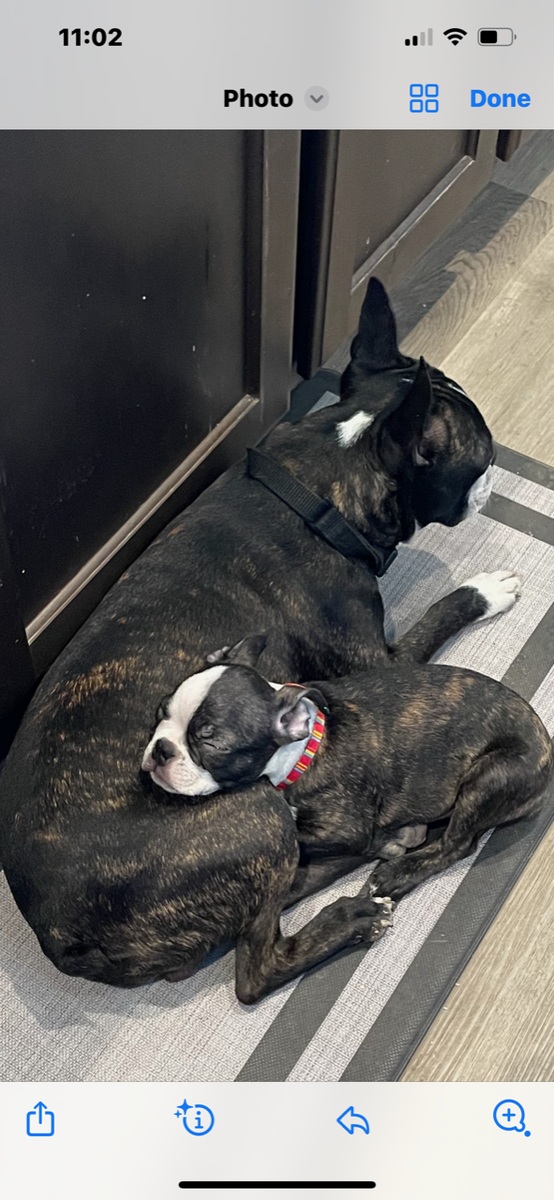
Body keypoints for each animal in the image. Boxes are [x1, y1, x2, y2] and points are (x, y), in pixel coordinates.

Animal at [140, 632, 552, 998]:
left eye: (210, 742)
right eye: (160, 713)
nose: (161, 749)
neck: (302, 752)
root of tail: (546, 752)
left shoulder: (343, 828)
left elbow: (310, 837)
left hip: (491, 776)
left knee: (458, 843)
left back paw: (396, 872)